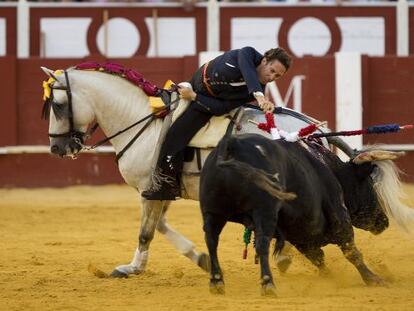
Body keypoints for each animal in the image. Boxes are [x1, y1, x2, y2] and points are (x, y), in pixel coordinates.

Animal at [39, 66, 414, 278]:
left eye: (57, 105)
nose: (58, 149)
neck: (143, 120)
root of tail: (307, 128)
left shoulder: (150, 188)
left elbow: (146, 231)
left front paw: (131, 268)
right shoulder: (162, 188)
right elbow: (159, 226)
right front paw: (201, 258)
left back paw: (286, 257)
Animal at [199, 134, 390, 294]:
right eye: (369, 183)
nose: (384, 221)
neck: (328, 169)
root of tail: (233, 144)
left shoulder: (300, 236)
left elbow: (318, 258)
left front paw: (329, 276)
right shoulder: (339, 214)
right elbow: (351, 251)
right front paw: (373, 279)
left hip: (212, 211)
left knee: (211, 240)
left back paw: (216, 281)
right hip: (264, 211)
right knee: (262, 243)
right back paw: (268, 284)